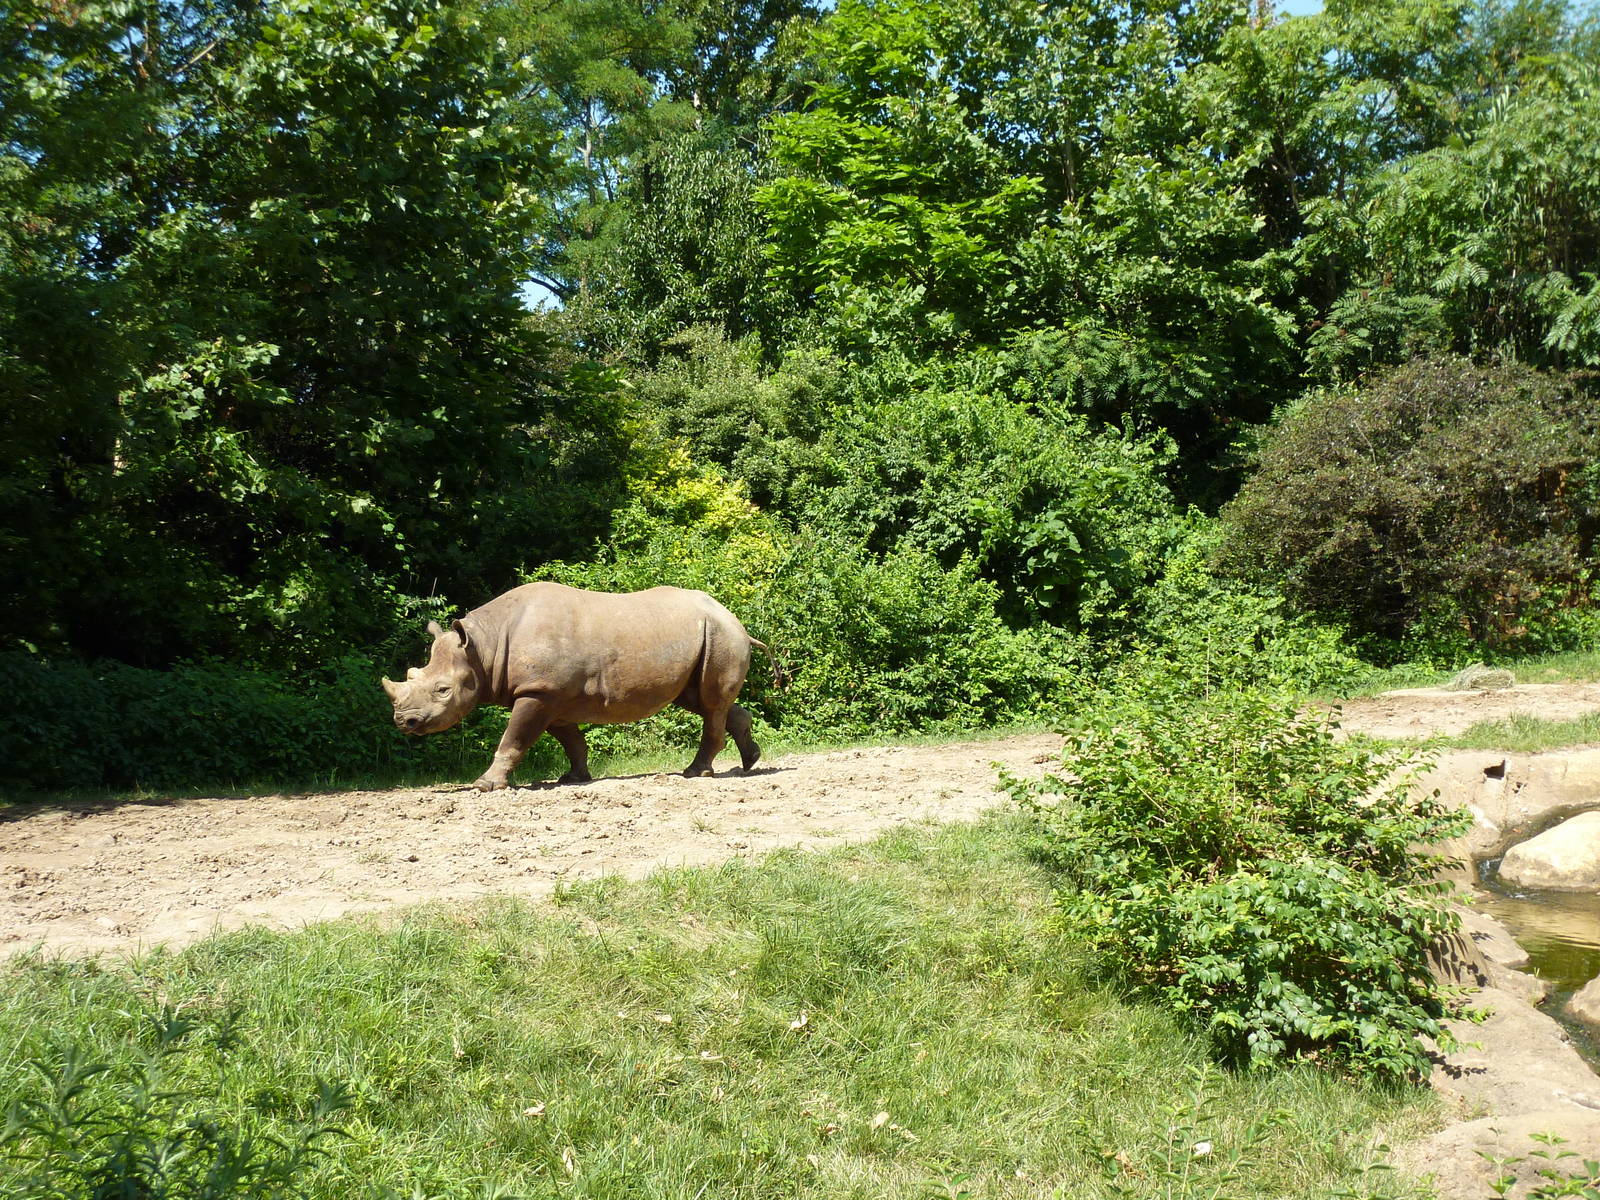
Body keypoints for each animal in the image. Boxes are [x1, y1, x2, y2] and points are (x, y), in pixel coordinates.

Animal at [382, 582, 764, 791]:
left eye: (443, 690)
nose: (404, 722)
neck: (485, 647)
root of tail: (735, 619)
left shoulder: (538, 690)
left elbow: (514, 738)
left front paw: (485, 784)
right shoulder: (552, 695)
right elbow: (571, 740)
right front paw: (574, 778)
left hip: (721, 634)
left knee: (710, 704)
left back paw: (695, 774)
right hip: (707, 635)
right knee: (701, 700)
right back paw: (749, 762)